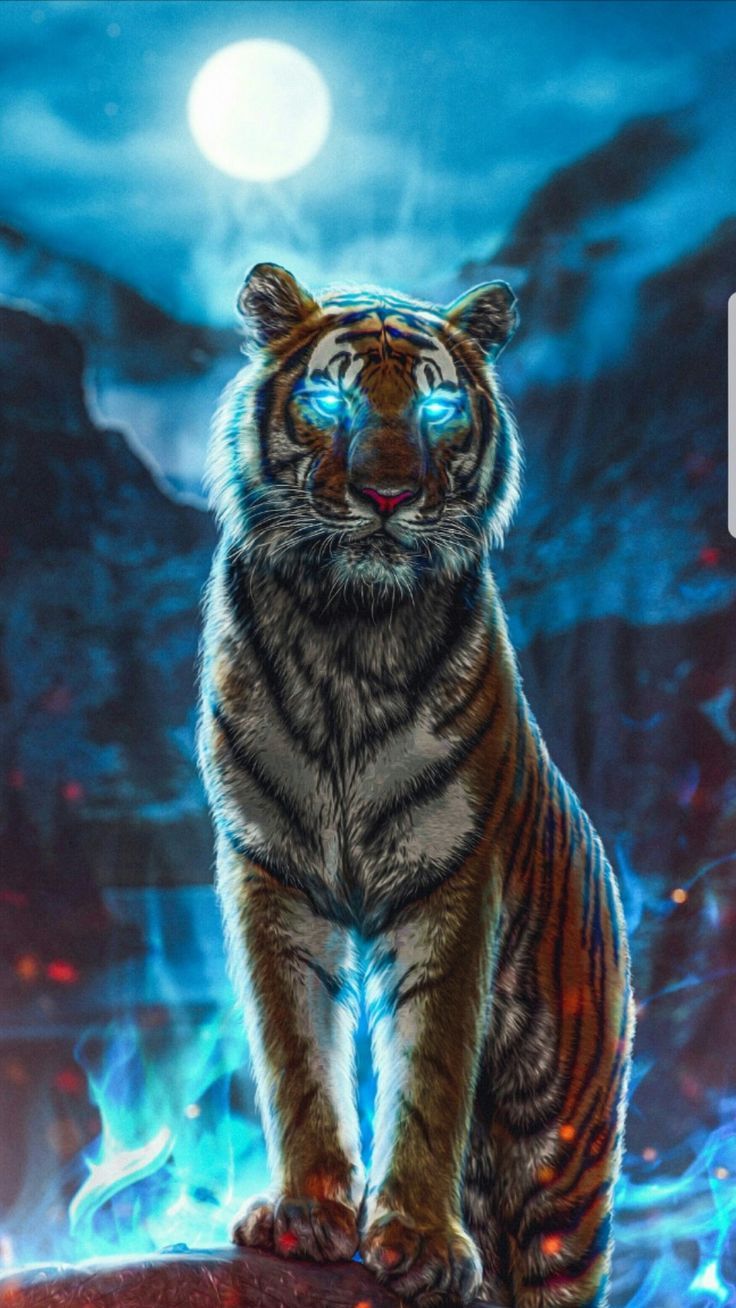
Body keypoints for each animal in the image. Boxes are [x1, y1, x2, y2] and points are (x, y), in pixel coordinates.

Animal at [197, 262, 635, 1308]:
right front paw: (307, 1217)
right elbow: (295, 1056)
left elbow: (431, 1067)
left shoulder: (452, 875)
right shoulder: (271, 872)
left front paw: (420, 1245)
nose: (388, 494)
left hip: (563, 1161)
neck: (348, 630)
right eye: (331, 399)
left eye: (437, 405)